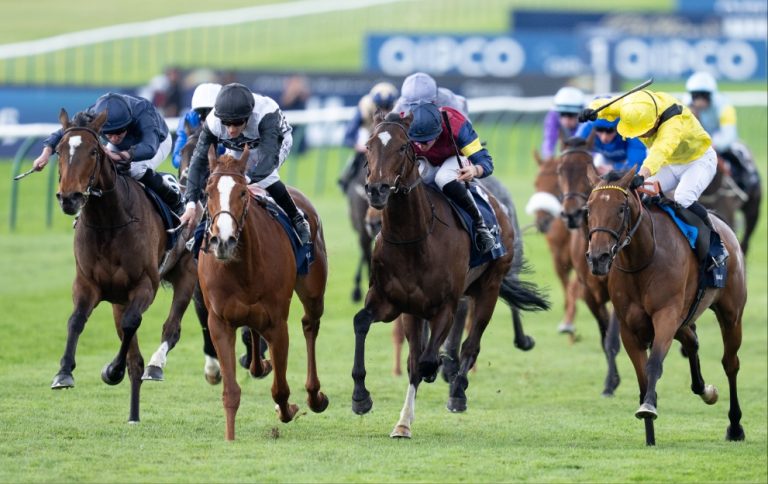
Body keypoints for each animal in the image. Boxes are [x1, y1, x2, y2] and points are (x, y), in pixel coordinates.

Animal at [52, 108, 198, 420]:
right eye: (59, 150)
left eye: (94, 151)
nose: (69, 198)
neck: (108, 223)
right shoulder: (87, 284)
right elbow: (76, 320)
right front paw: (64, 372)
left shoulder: (144, 285)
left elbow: (133, 323)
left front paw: (112, 370)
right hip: (118, 299)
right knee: (133, 350)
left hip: (187, 273)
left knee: (171, 329)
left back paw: (155, 365)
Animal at [198, 146, 328, 440]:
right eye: (207, 192)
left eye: (242, 193)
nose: (223, 240)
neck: (242, 267)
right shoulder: (219, 322)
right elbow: (231, 392)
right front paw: (230, 438)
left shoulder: (277, 323)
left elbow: (280, 389)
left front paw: (288, 409)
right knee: (254, 336)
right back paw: (260, 365)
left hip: (314, 291)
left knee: (310, 325)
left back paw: (314, 395)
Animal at [352, 111, 548, 436]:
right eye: (368, 146)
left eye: (403, 147)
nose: (376, 189)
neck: (414, 240)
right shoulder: (392, 303)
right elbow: (365, 326)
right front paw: (364, 400)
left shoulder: (445, 305)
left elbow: (428, 359)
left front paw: (440, 372)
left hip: (489, 287)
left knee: (471, 345)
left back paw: (457, 392)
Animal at [588, 170, 744, 446]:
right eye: (588, 208)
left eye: (620, 209)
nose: (598, 258)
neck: (642, 259)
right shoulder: (630, 328)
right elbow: (642, 376)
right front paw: (649, 434)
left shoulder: (666, 317)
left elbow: (654, 364)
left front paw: (648, 407)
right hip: (684, 319)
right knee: (692, 340)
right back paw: (705, 390)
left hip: (731, 314)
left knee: (730, 363)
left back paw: (735, 426)